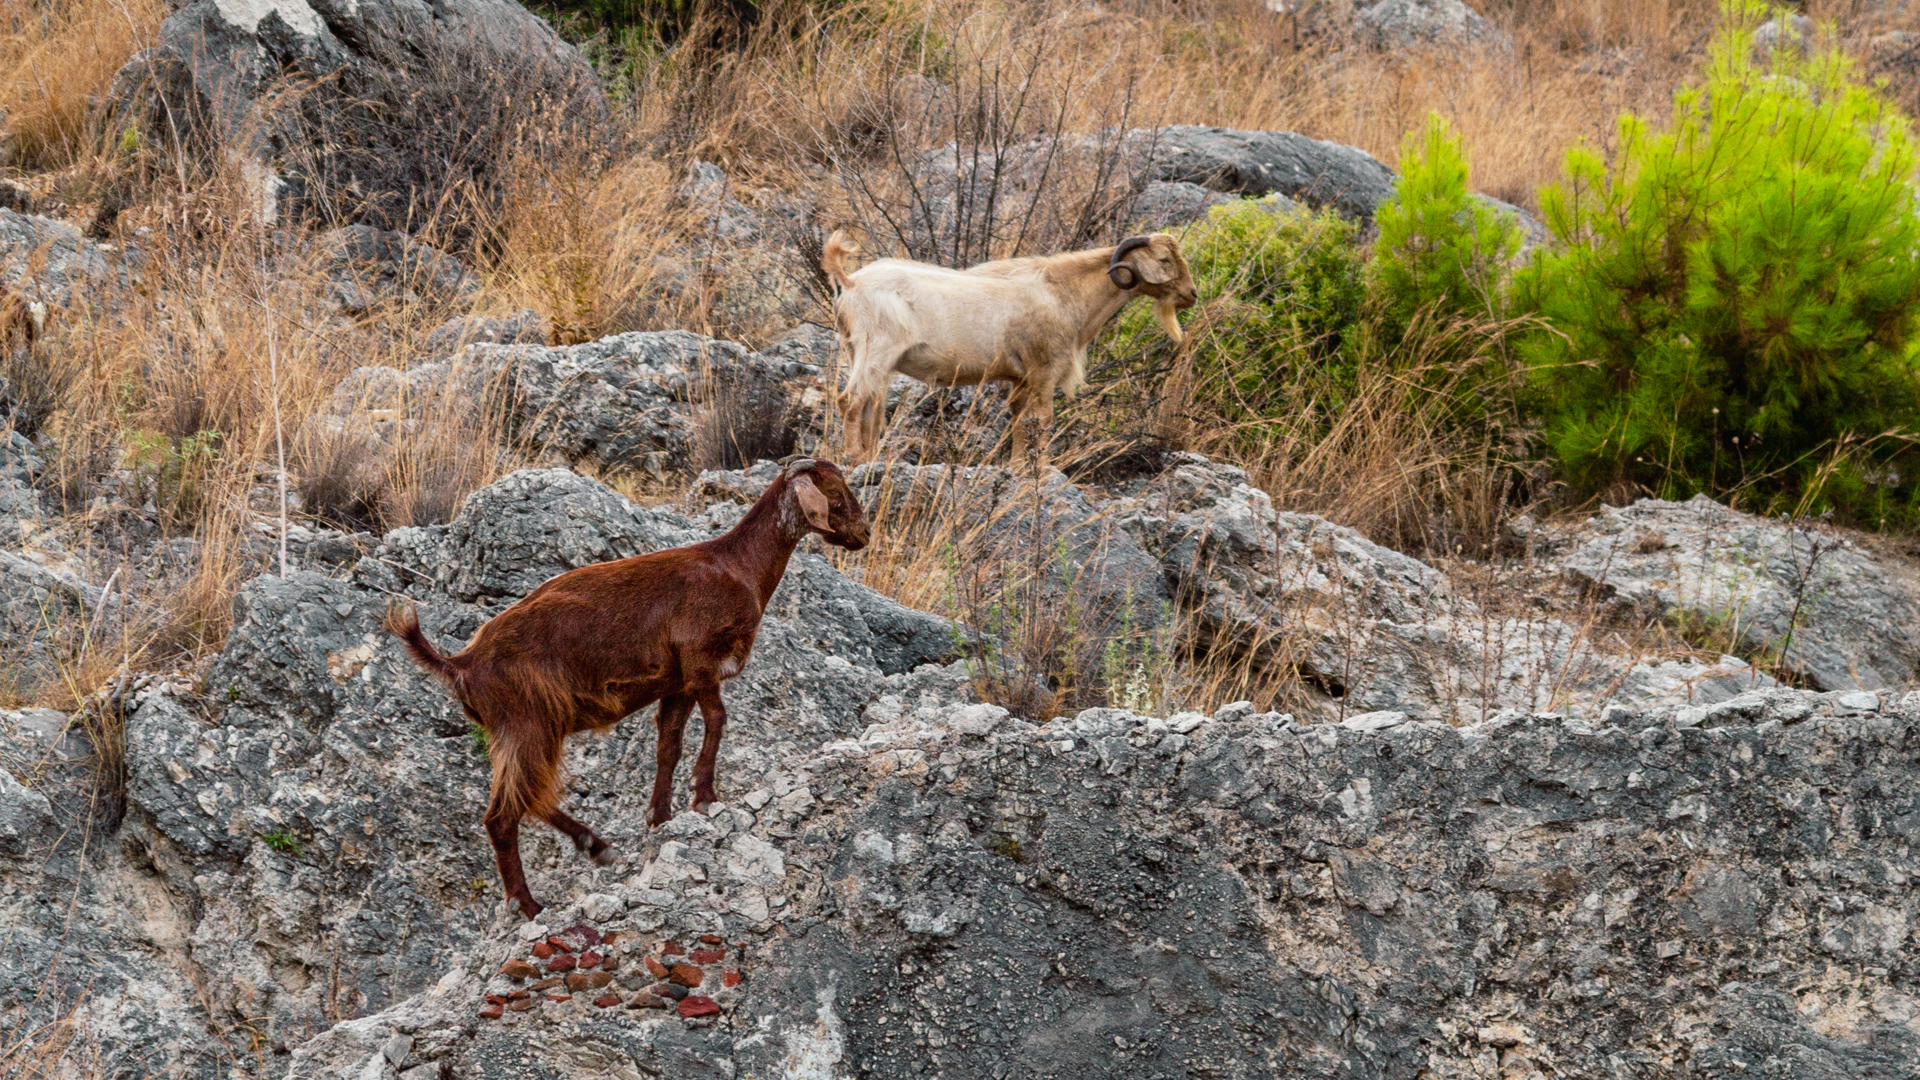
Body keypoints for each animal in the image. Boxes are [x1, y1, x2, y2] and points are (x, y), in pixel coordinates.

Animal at [385, 458, 870, 918]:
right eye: (834, 490)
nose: (864, 533)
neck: (738, 567)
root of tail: (460, 663)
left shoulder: (678, 684)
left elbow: (668, 746)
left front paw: (660, 819)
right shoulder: (701, 662)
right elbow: (718, 719)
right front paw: (705, 797)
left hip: (516, 731)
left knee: (525, 798)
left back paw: (593, 847)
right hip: (529, 722)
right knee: (505, 814)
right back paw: (531, 903)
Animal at [821, 231, 1197, 462]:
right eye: (1165, 260)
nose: (1191, 294)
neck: (1063, 293)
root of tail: (850, 282)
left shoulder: (1020, 378)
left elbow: (1019, 420)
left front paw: (1017, 466)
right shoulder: (1044, 371)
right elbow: (1041, 420)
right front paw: (1039, 470)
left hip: (861, 354)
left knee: (870, 407)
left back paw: (868, 457)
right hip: (875, 351)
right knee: (851, 401)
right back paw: (854, 457)